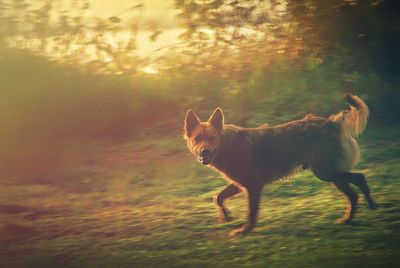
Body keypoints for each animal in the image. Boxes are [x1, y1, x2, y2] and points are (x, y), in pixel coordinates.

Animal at [183, 94, 376, 237]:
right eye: (197, 139)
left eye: (212, 138)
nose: (204, 152)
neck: (227, 145)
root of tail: (331, 122)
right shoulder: (239, 184)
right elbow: (218, 197)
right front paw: (225, 215)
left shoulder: (253, 186)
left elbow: (251, 212)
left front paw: (245, 230)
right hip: (331, 173)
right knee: (353, 194)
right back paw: (349, 219)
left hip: (326, 172)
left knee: (360, 178)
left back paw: (368, 203)